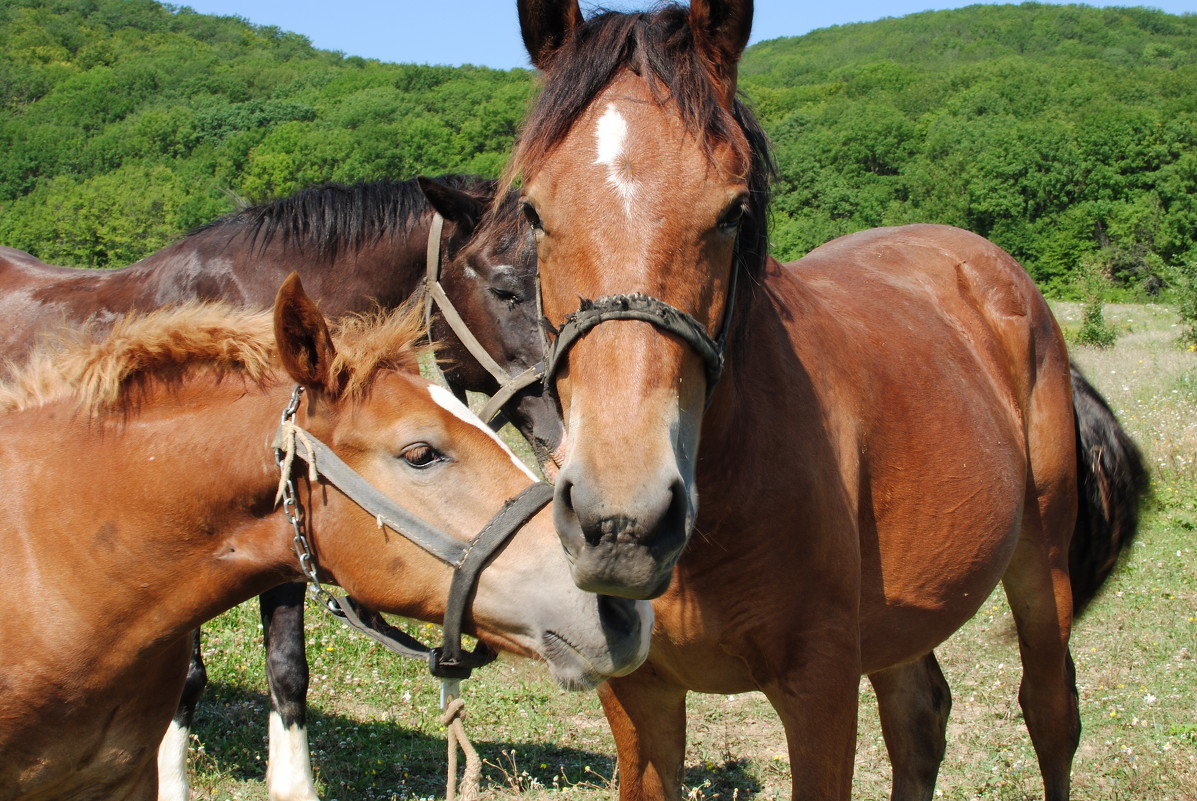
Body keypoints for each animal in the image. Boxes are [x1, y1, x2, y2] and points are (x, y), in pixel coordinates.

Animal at [509, 3, 1144, 795]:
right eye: (533, 211)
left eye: (732, 210)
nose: (622, 522)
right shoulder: (639, 698)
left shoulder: (820, 693)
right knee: (919, 718)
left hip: (1041, 568)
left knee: (1049, 712)